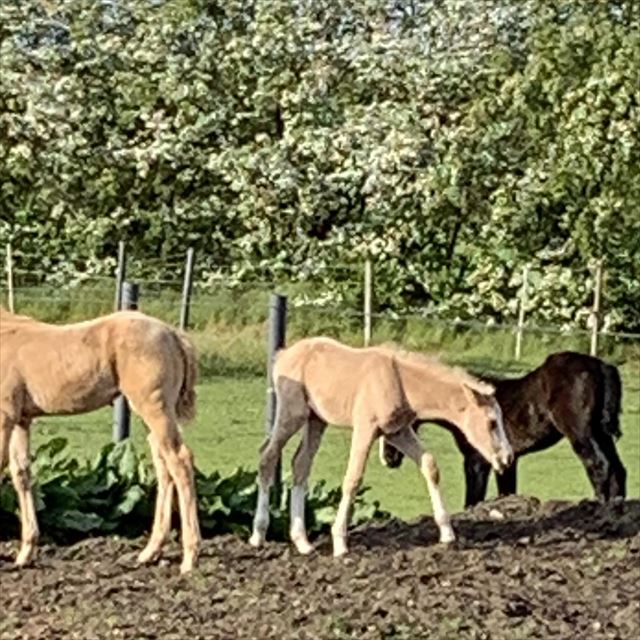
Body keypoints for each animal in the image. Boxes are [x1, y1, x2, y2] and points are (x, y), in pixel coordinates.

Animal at [0, 308, 200, 572]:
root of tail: (173, 333)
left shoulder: (4, 415)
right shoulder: (21, 419)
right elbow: (21, 474)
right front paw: (26, 553)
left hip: (154, 406)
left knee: (180, 460)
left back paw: (189, 558)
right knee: (163, 465)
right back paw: (150, 552)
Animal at [251, 338, 516, 556]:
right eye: (492, 423)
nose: (507, 458)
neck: (400, 381)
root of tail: (282, 355)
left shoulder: (397, 432)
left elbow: (430, 465)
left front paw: (447, 533)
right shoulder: (365, 429)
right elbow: (353, 478)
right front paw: (340, 543)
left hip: (317, 420)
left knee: (300, 464)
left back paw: (303, 543)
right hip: (293, 413)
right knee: (268, 456)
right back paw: (258, 535)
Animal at [380, 352, 624, 508]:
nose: (388, 459)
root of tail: (602, 366)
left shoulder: (476, 461)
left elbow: (472, 500)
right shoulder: (506, 463)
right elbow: (506, 492)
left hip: (581, 433)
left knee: (599, 464)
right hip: (601, 434)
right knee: (618, 468)